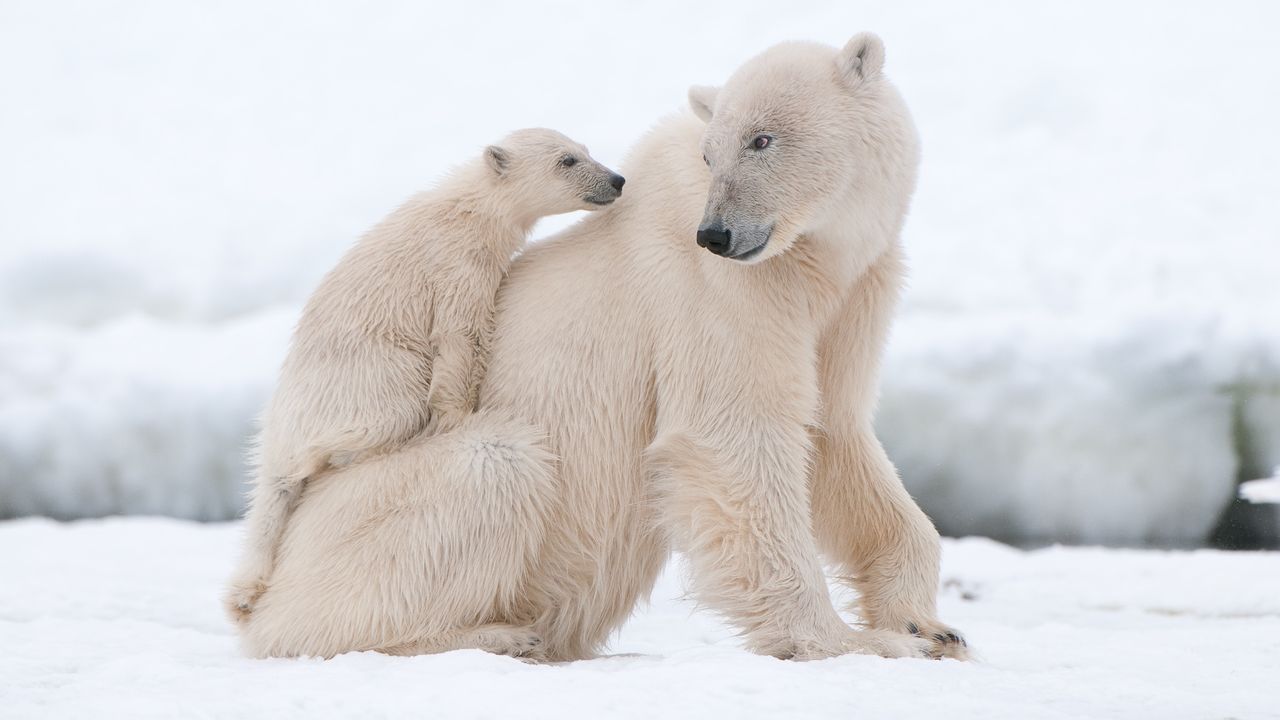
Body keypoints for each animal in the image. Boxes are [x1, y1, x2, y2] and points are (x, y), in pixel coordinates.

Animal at [224, 129, 625, 623]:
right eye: (567, 160)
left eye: (586, 150)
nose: (616, 179)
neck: (469, 209)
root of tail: (280, 427)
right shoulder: (456, 265)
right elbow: (459, 335)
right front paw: (457, 416)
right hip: (368, 377)